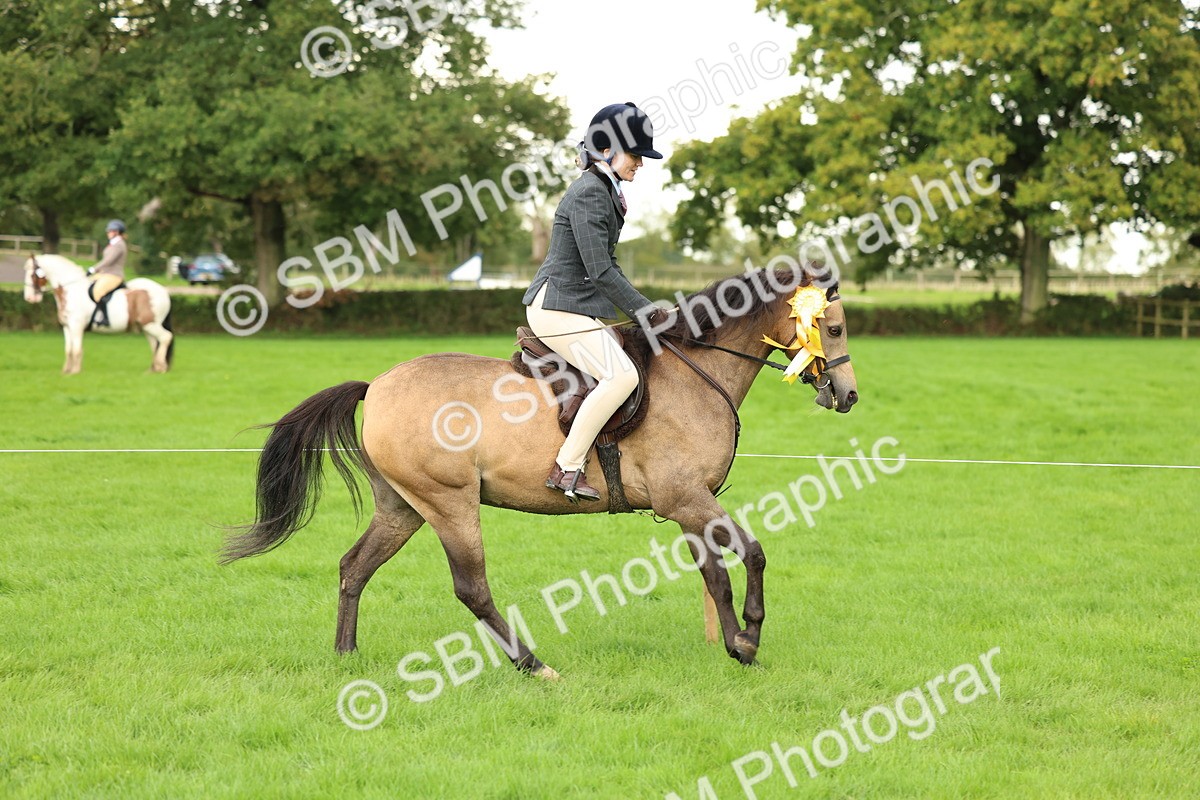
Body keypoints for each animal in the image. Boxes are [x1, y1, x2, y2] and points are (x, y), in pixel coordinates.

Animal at [22, 254, 175, 375]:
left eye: (32, 275)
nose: (29, 298)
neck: (71, 290)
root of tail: (163, 291)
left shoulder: (76, 326)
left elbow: (77, 349)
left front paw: (75, 372)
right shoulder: (67, 327)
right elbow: (68, 349)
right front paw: (66, 371)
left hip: (151, 325)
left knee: (166, 337)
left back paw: (161, 368)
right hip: (147, 327)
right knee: (155, 344)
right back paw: (153, 370)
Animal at [221, 266, 858, 680]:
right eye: (833, 329)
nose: (847, 395)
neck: (696, 370)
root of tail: (376, 385)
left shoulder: (688, 504)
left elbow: (717, 574)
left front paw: (735, 644)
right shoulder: (686, 499)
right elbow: (751, 555)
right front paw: (748, 639)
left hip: (402, 506)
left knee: (354, 567)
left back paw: (346, 655)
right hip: (450, 503)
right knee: (471, 588)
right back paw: (533, 665)